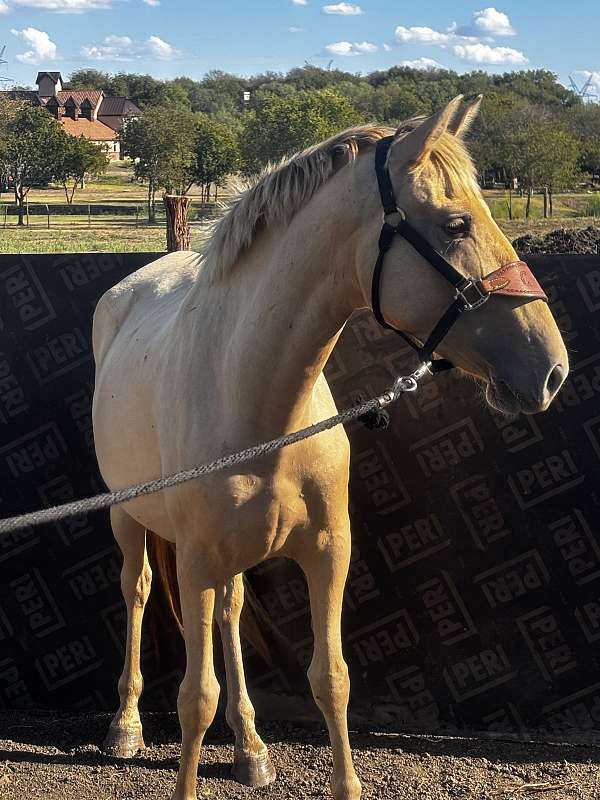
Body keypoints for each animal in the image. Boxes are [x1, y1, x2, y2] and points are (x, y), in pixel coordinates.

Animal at [91, 96, 568, 800]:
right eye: (456, 224)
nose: (551, 369)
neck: (257, 401)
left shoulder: (327, 552)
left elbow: (331, 679)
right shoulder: (198, 562)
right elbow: (194, 700)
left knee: (232, 612)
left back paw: (252, 745)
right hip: (129, 516)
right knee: (138, 590)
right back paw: (125, 727)